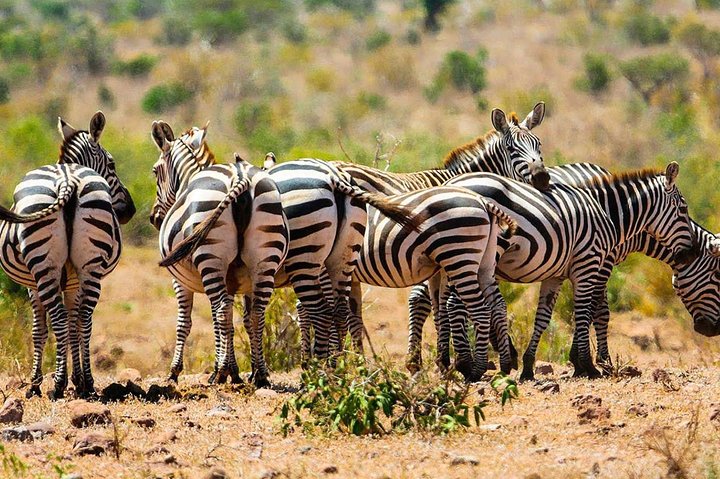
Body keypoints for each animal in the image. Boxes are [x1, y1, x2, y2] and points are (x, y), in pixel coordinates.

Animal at [0, 111, 135, 399]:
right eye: (112, 164)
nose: (130, 210)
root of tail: (67, 180)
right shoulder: (72, 280)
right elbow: (73, 325)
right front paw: (79, 379)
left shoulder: (33, 283)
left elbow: (40, 329)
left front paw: (36, 384)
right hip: (90, 264)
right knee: (83, 319)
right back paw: (87, 383)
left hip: (44, 266)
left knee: (60, 320)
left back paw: (59, 385)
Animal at [407, 163, 720, 379]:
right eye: (683, 209)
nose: (711, 330)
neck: (611, 215)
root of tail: (452, 181)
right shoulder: (594, 262)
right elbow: (592, 311)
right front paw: (591, 364)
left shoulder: (557, 272)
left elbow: (544, 317)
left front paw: (531, 366)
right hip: (472, 255)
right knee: (454, 303)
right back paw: (466, 363)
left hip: (449, 257)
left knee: (438, 302)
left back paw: (448, 362)